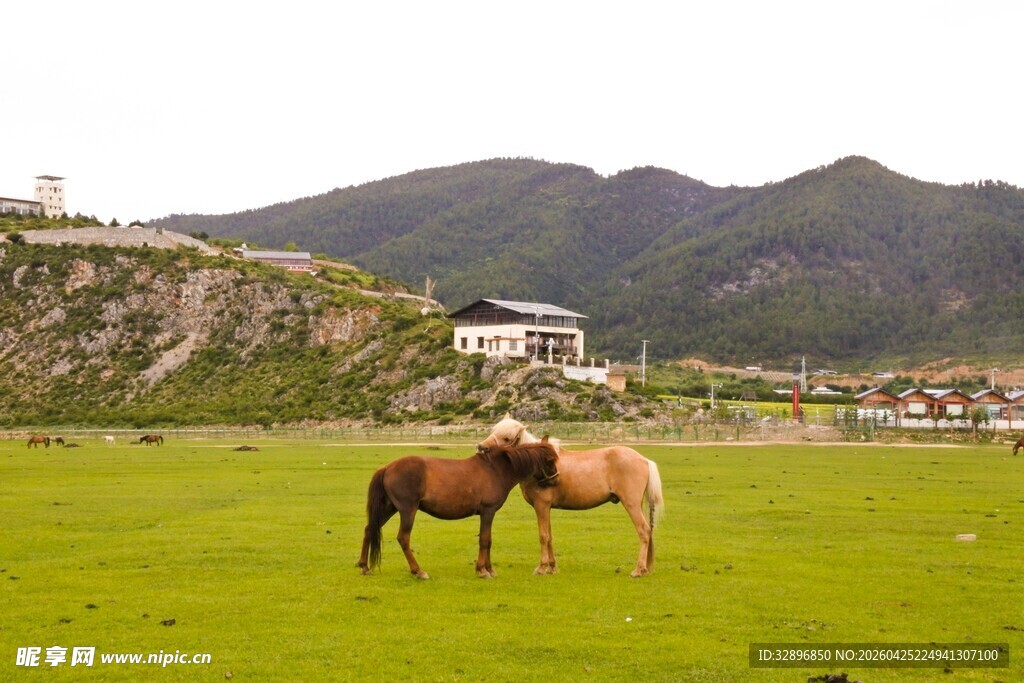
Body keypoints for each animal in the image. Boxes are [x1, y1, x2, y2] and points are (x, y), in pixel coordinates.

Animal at [357, 441, 559, 579]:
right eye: (550, 461)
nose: (556, 480)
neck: (495, 469)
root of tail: (387, 468)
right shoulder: (488, 512)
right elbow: (485, 540)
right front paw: (482, 570)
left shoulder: (488, 514)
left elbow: (488, 540)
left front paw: (490, 569)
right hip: (408, 510)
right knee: (403, 538)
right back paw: (418, 571)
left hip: (389, 508)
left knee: (369, 529)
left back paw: (364, 566)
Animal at [477, 417, 664, 578]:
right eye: (493, 430)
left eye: (506, 438)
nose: (480, 447)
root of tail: (644, 459)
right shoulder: (546, 508)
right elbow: (549, 536)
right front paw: (552, 567)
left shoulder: (541, 506)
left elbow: (543, 536)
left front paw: (541, 567)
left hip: (631, 504)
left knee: (644, 531)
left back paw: (638, 570)